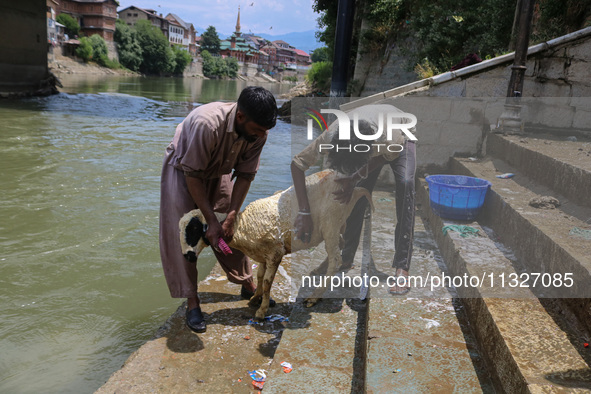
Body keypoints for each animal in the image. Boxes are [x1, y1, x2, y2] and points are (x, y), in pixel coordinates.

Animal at [180, 169, 374, 320]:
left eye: (194, 229)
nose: (187, 256)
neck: (242, 225)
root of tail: (352, 187)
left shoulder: (275, 253)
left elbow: (267, 282)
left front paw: (261, 310)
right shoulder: (263, 255)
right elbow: (259, 276)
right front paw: (255, 298)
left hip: (331, 223)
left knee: (335, 259)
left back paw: (314, 297)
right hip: (336, 226)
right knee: (340, 244)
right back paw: (319, 270)